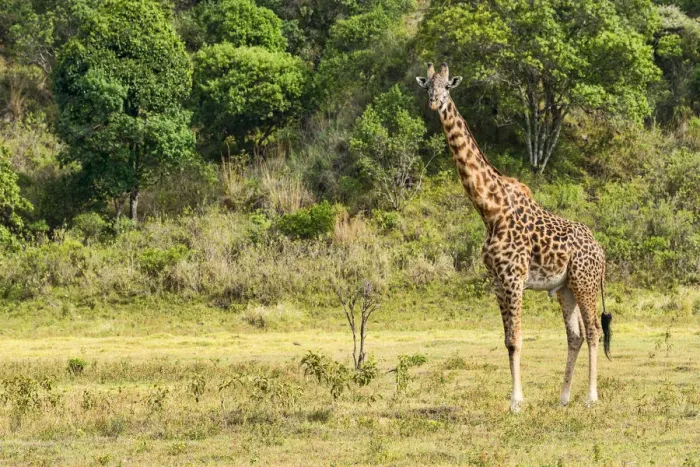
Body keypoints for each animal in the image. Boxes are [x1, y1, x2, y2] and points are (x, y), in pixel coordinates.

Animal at [416, 63, 613, 412]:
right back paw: (563, 398)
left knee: (592, 331)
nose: (435, 103)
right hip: (565, 288)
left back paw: (591, 397)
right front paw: (518, 399)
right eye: (427, 86)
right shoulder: (497, 281)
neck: (489, 208)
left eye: (448, 87)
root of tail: (601, 252)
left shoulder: (513, 278)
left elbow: (516, 340)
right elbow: (508, 340)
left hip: (585, 282)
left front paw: (515, 402)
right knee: (575, 335)